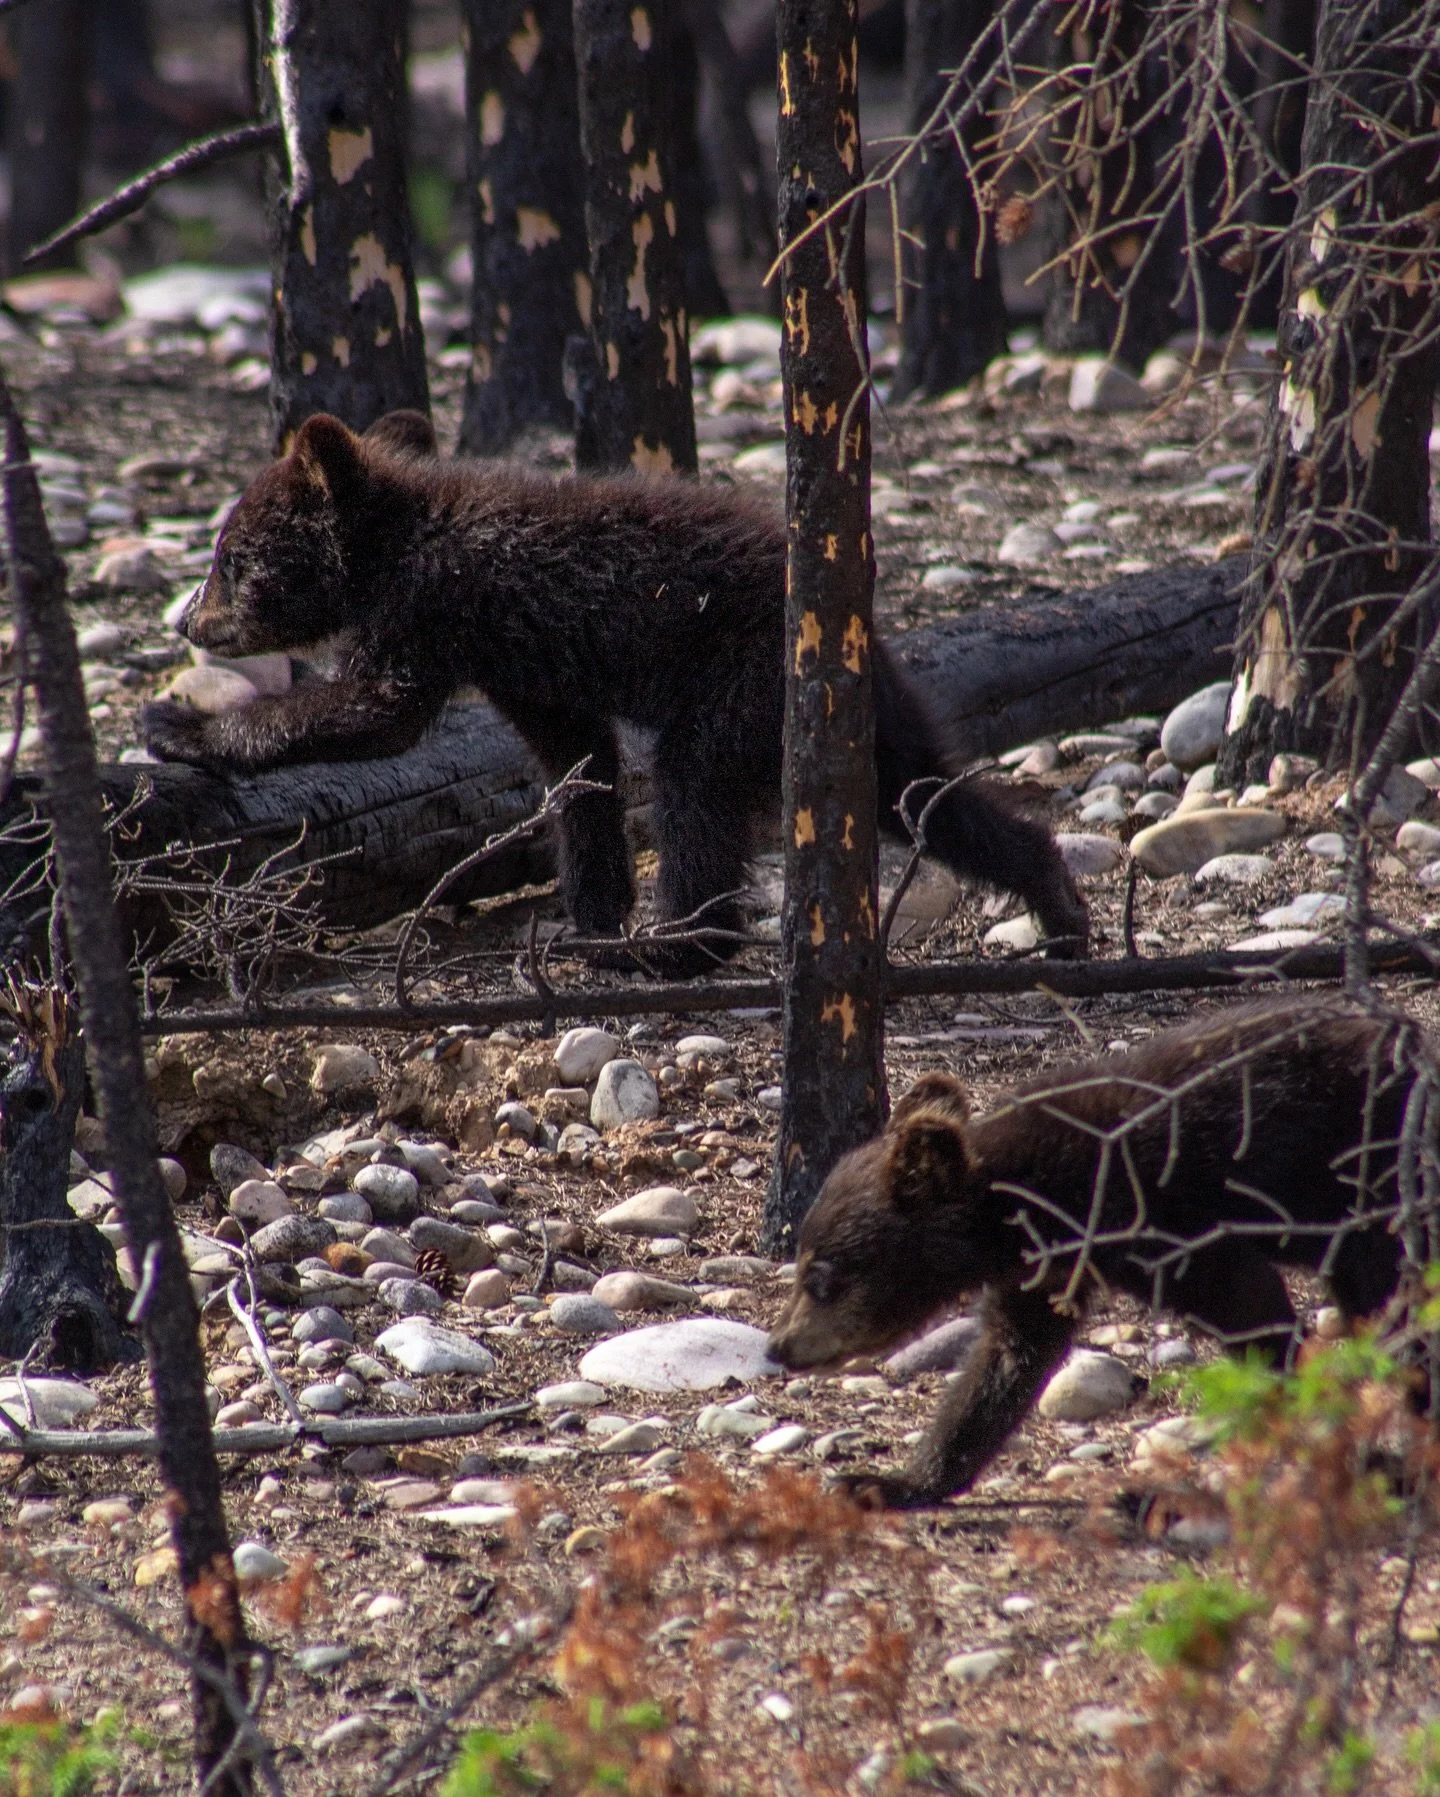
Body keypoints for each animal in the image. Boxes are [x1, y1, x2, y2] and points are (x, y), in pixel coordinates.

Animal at [141, 411, 1087, 971]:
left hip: (739, 680)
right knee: (927, 795)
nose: (189, 618)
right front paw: (588, 911)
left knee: (695, 792)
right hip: (866, 710)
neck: (391, 548)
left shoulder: (430, 609)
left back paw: (673, 945)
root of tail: (853, 623)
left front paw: (180, 725)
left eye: (231, 558)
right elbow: (577, 762)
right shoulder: (519, 663)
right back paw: (1060, 906)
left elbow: (379, 709)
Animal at [767, 998, 1425, 1507]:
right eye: (803, 1264)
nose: (779, 1345)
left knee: (1392, 1298)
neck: (1043, 1204)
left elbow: (1250, 1306)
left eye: (820, 1276)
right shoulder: (1040, 1272)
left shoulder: (1169, 1221)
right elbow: (1005, 1360)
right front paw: (890, 1480)